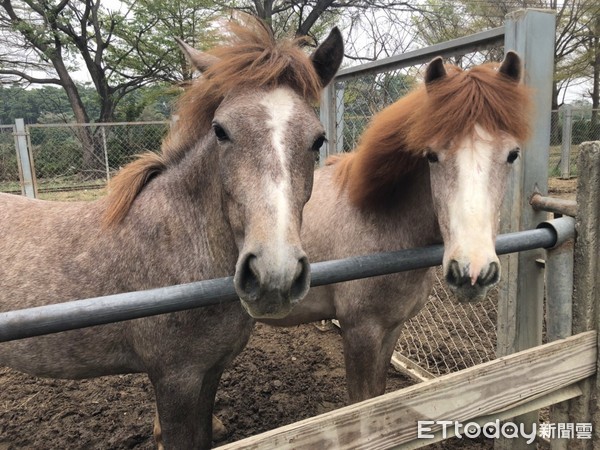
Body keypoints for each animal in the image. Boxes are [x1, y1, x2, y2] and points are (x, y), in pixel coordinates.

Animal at [0, 15, 344, 448]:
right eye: (220, 130)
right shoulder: (174, 380)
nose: (274, 277)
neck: (179, 241)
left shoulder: (210, 371)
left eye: (318, 139)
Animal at [264, 53, 532, 404]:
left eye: (512, 154)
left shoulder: (392, 327)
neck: (378, 220)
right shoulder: (361, 331)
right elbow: (362, 402)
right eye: (431, 155)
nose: (472, 272)